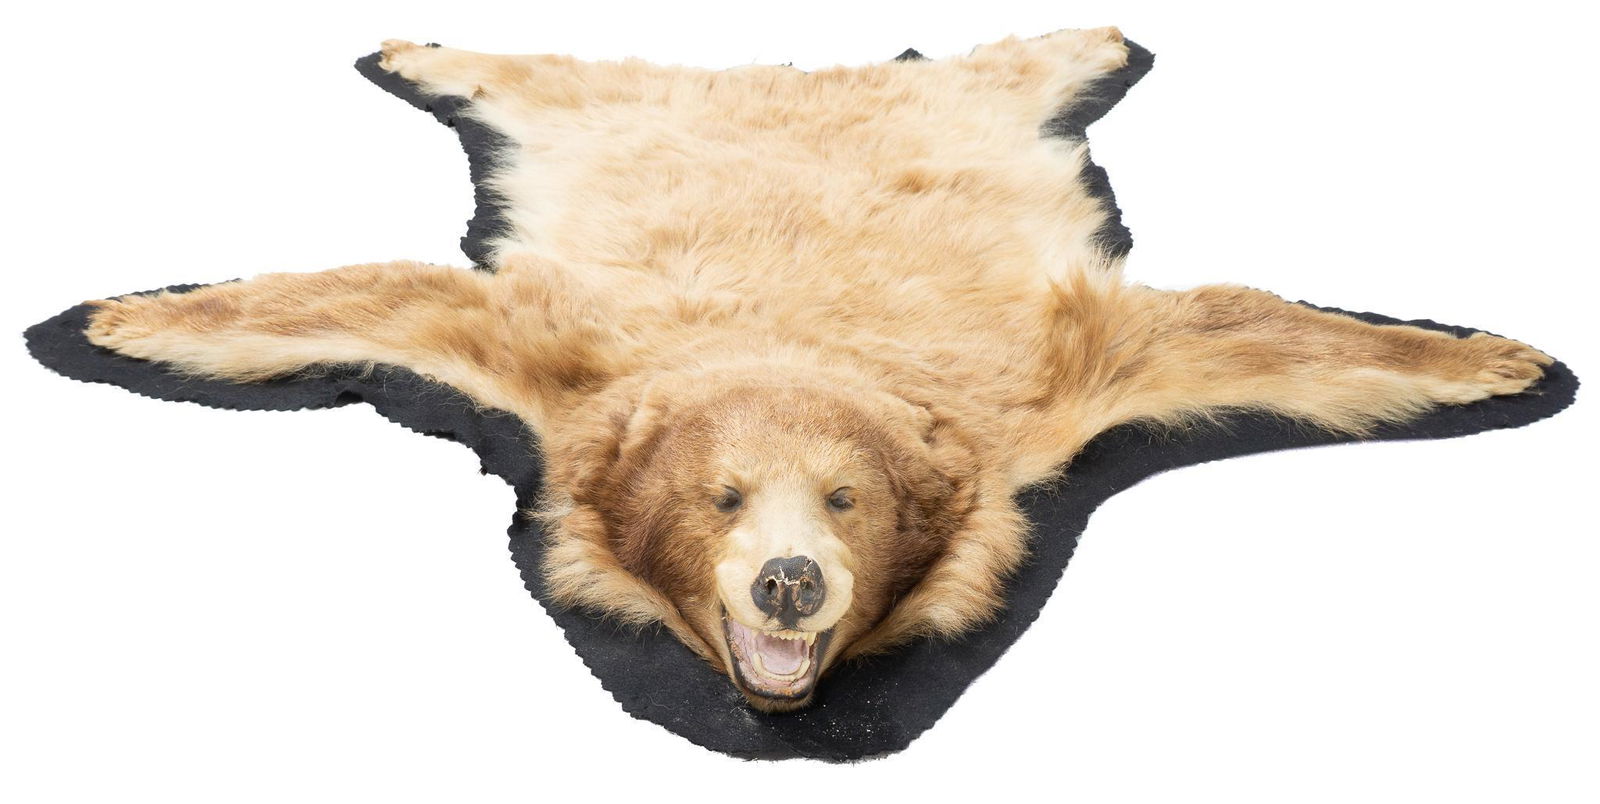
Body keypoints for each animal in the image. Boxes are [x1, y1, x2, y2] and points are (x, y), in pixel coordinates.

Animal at [79, 28, 1550, 711]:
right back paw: (414, 46)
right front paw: (119, 320)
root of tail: (782, 72)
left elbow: (1241, 326)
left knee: (1011, 57)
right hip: (621, 105)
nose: (789, 578)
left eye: (848, 500)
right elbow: (399, 295)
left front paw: (1492, 356)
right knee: (543, 71)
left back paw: (1097, 40)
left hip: (953, 100)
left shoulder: (1051, 377)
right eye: (721, 497)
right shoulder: (556, 362)